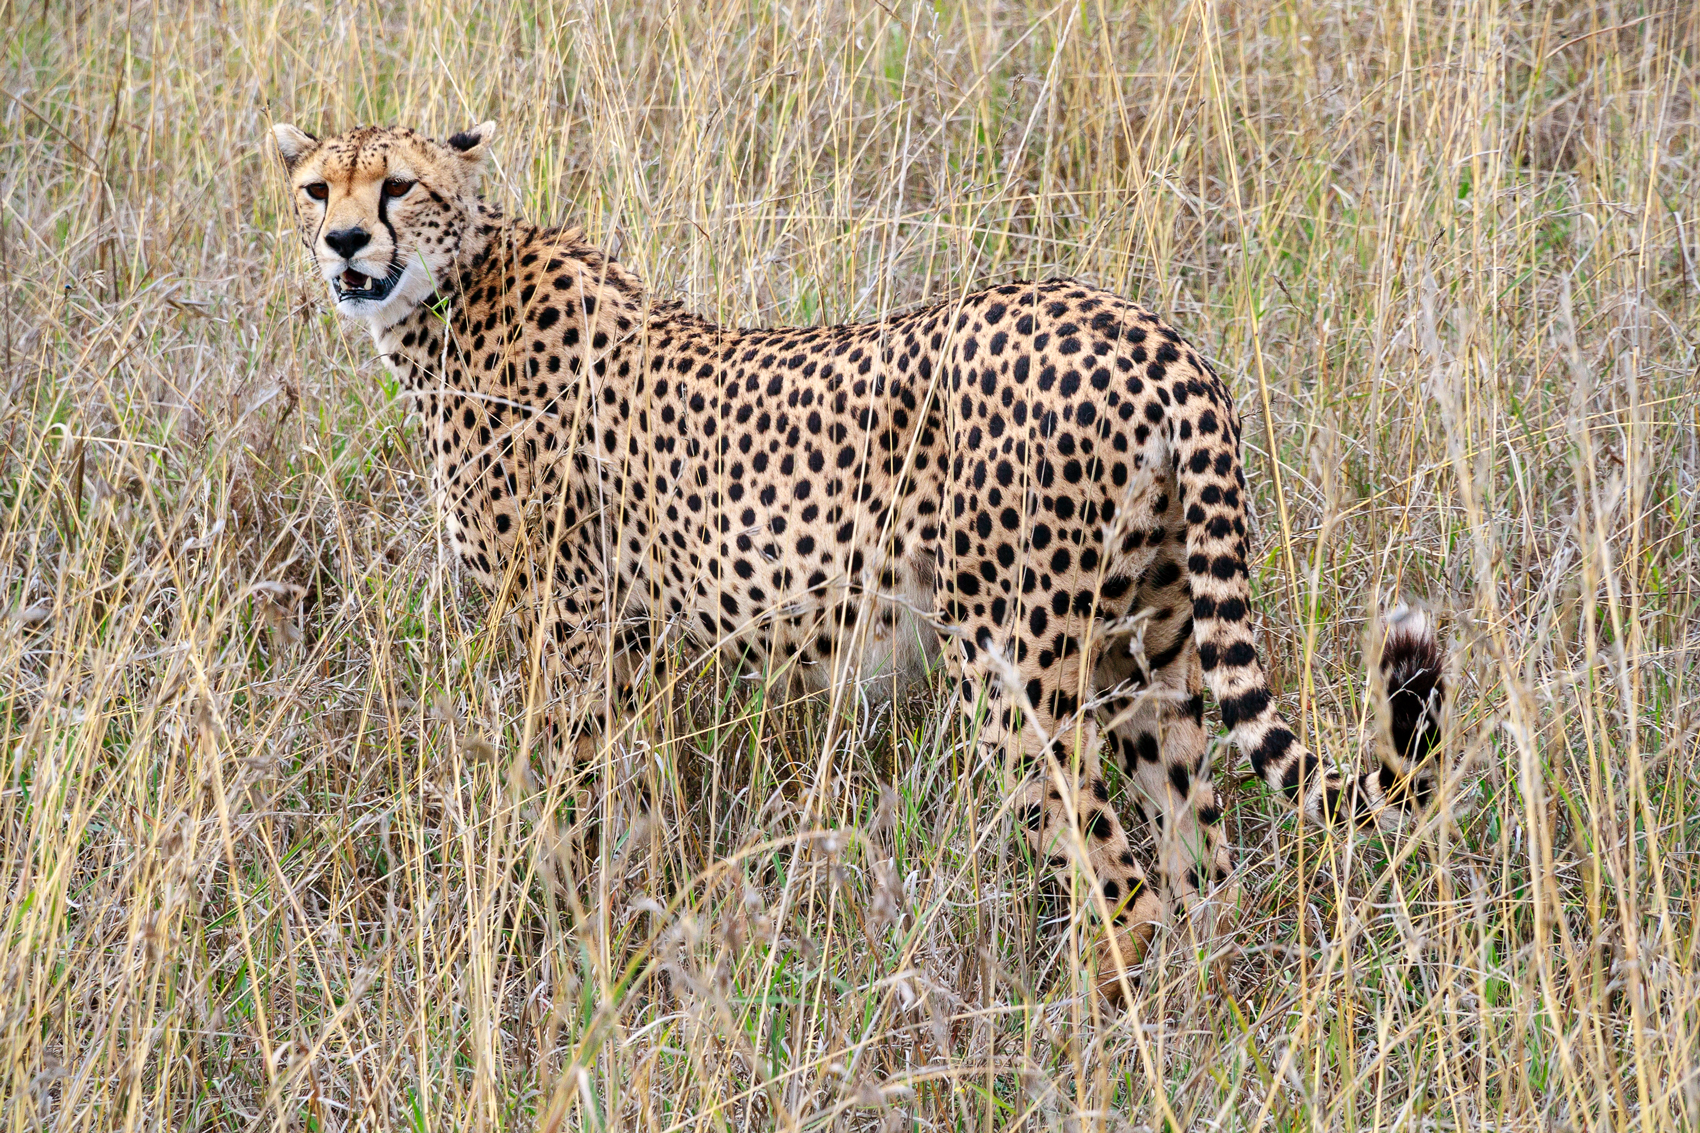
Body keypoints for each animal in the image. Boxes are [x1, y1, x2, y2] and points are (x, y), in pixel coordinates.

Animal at [273, 119, 1452, 999]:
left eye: (399, 187)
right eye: (318, 187)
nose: (343, 243)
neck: (453, 289)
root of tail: (1144, 332)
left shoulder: (565, 630)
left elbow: (567, 796)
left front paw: (568, 932)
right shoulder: (629, 641)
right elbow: (641, 801)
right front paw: (640, 919)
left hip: (1012, 663)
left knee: (1119, 878)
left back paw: (1062, 1040)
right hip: (1149, 653)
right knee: (1200, 865)